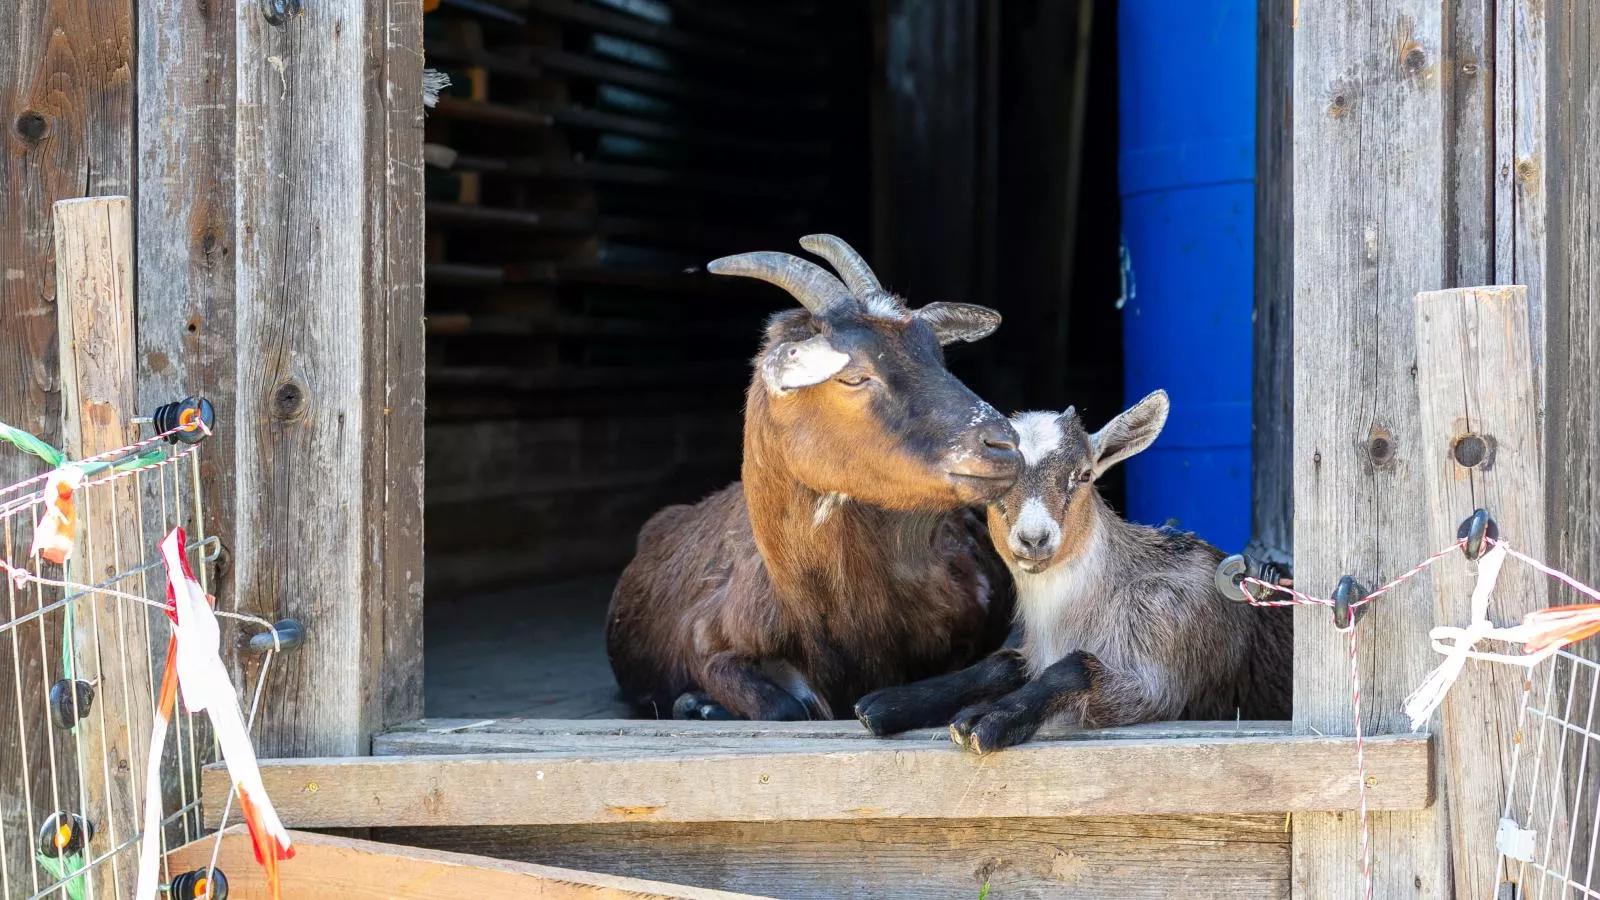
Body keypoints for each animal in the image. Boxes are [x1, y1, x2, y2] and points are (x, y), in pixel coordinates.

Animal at [604, 235, 1017, 717]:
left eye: (938, 357)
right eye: (852, 376)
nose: (1004, 444)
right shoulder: (706, 637)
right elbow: (781, 707)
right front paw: (700, 703)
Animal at [857, 389, 1292, 746]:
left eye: (1083, 474)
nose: (1034, 538)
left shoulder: (1163, 646)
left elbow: (1078, 668)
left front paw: (986, 719)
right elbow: (1002, 664)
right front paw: (886, 704)